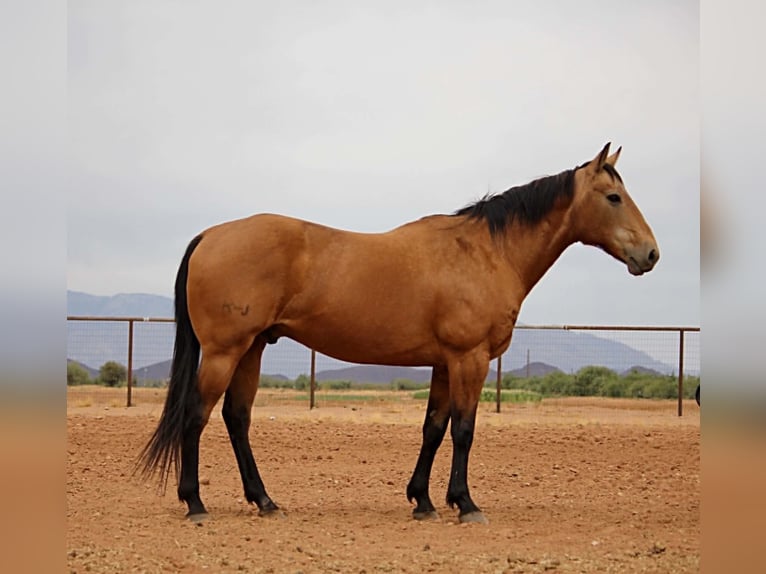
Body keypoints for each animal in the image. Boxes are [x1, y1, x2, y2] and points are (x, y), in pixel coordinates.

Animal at [138, 143, 659, 524]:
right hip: (224, 352)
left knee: (237, 418)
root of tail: (211, 235)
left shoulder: (444, 363)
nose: (651, 254)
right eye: (613, 197)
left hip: (251, 350)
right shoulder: (469, 358)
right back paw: (195, 504)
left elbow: (433, 428)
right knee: (196, 415)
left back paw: (264, 501)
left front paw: (423, 502)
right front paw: (466, 504)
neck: (484, 252)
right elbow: (464, 430)